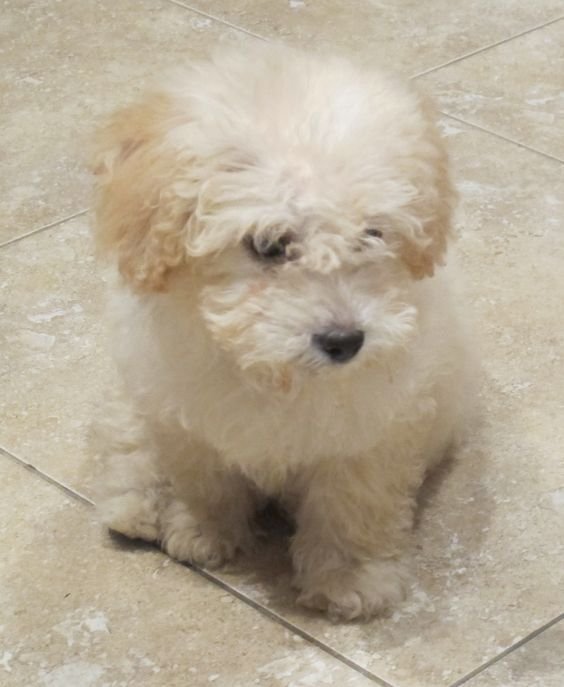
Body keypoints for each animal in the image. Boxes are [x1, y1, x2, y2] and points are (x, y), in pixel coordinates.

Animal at [92, 44, 472, 624]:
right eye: (269, 245)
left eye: (372, 234)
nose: (345, 341)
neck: (277, 373)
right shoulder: (185, 414)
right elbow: (202, 478)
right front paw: (203, 531)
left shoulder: (372, 430)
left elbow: (353, 502)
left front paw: (349, 578)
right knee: (130, 443)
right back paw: (137, 508)